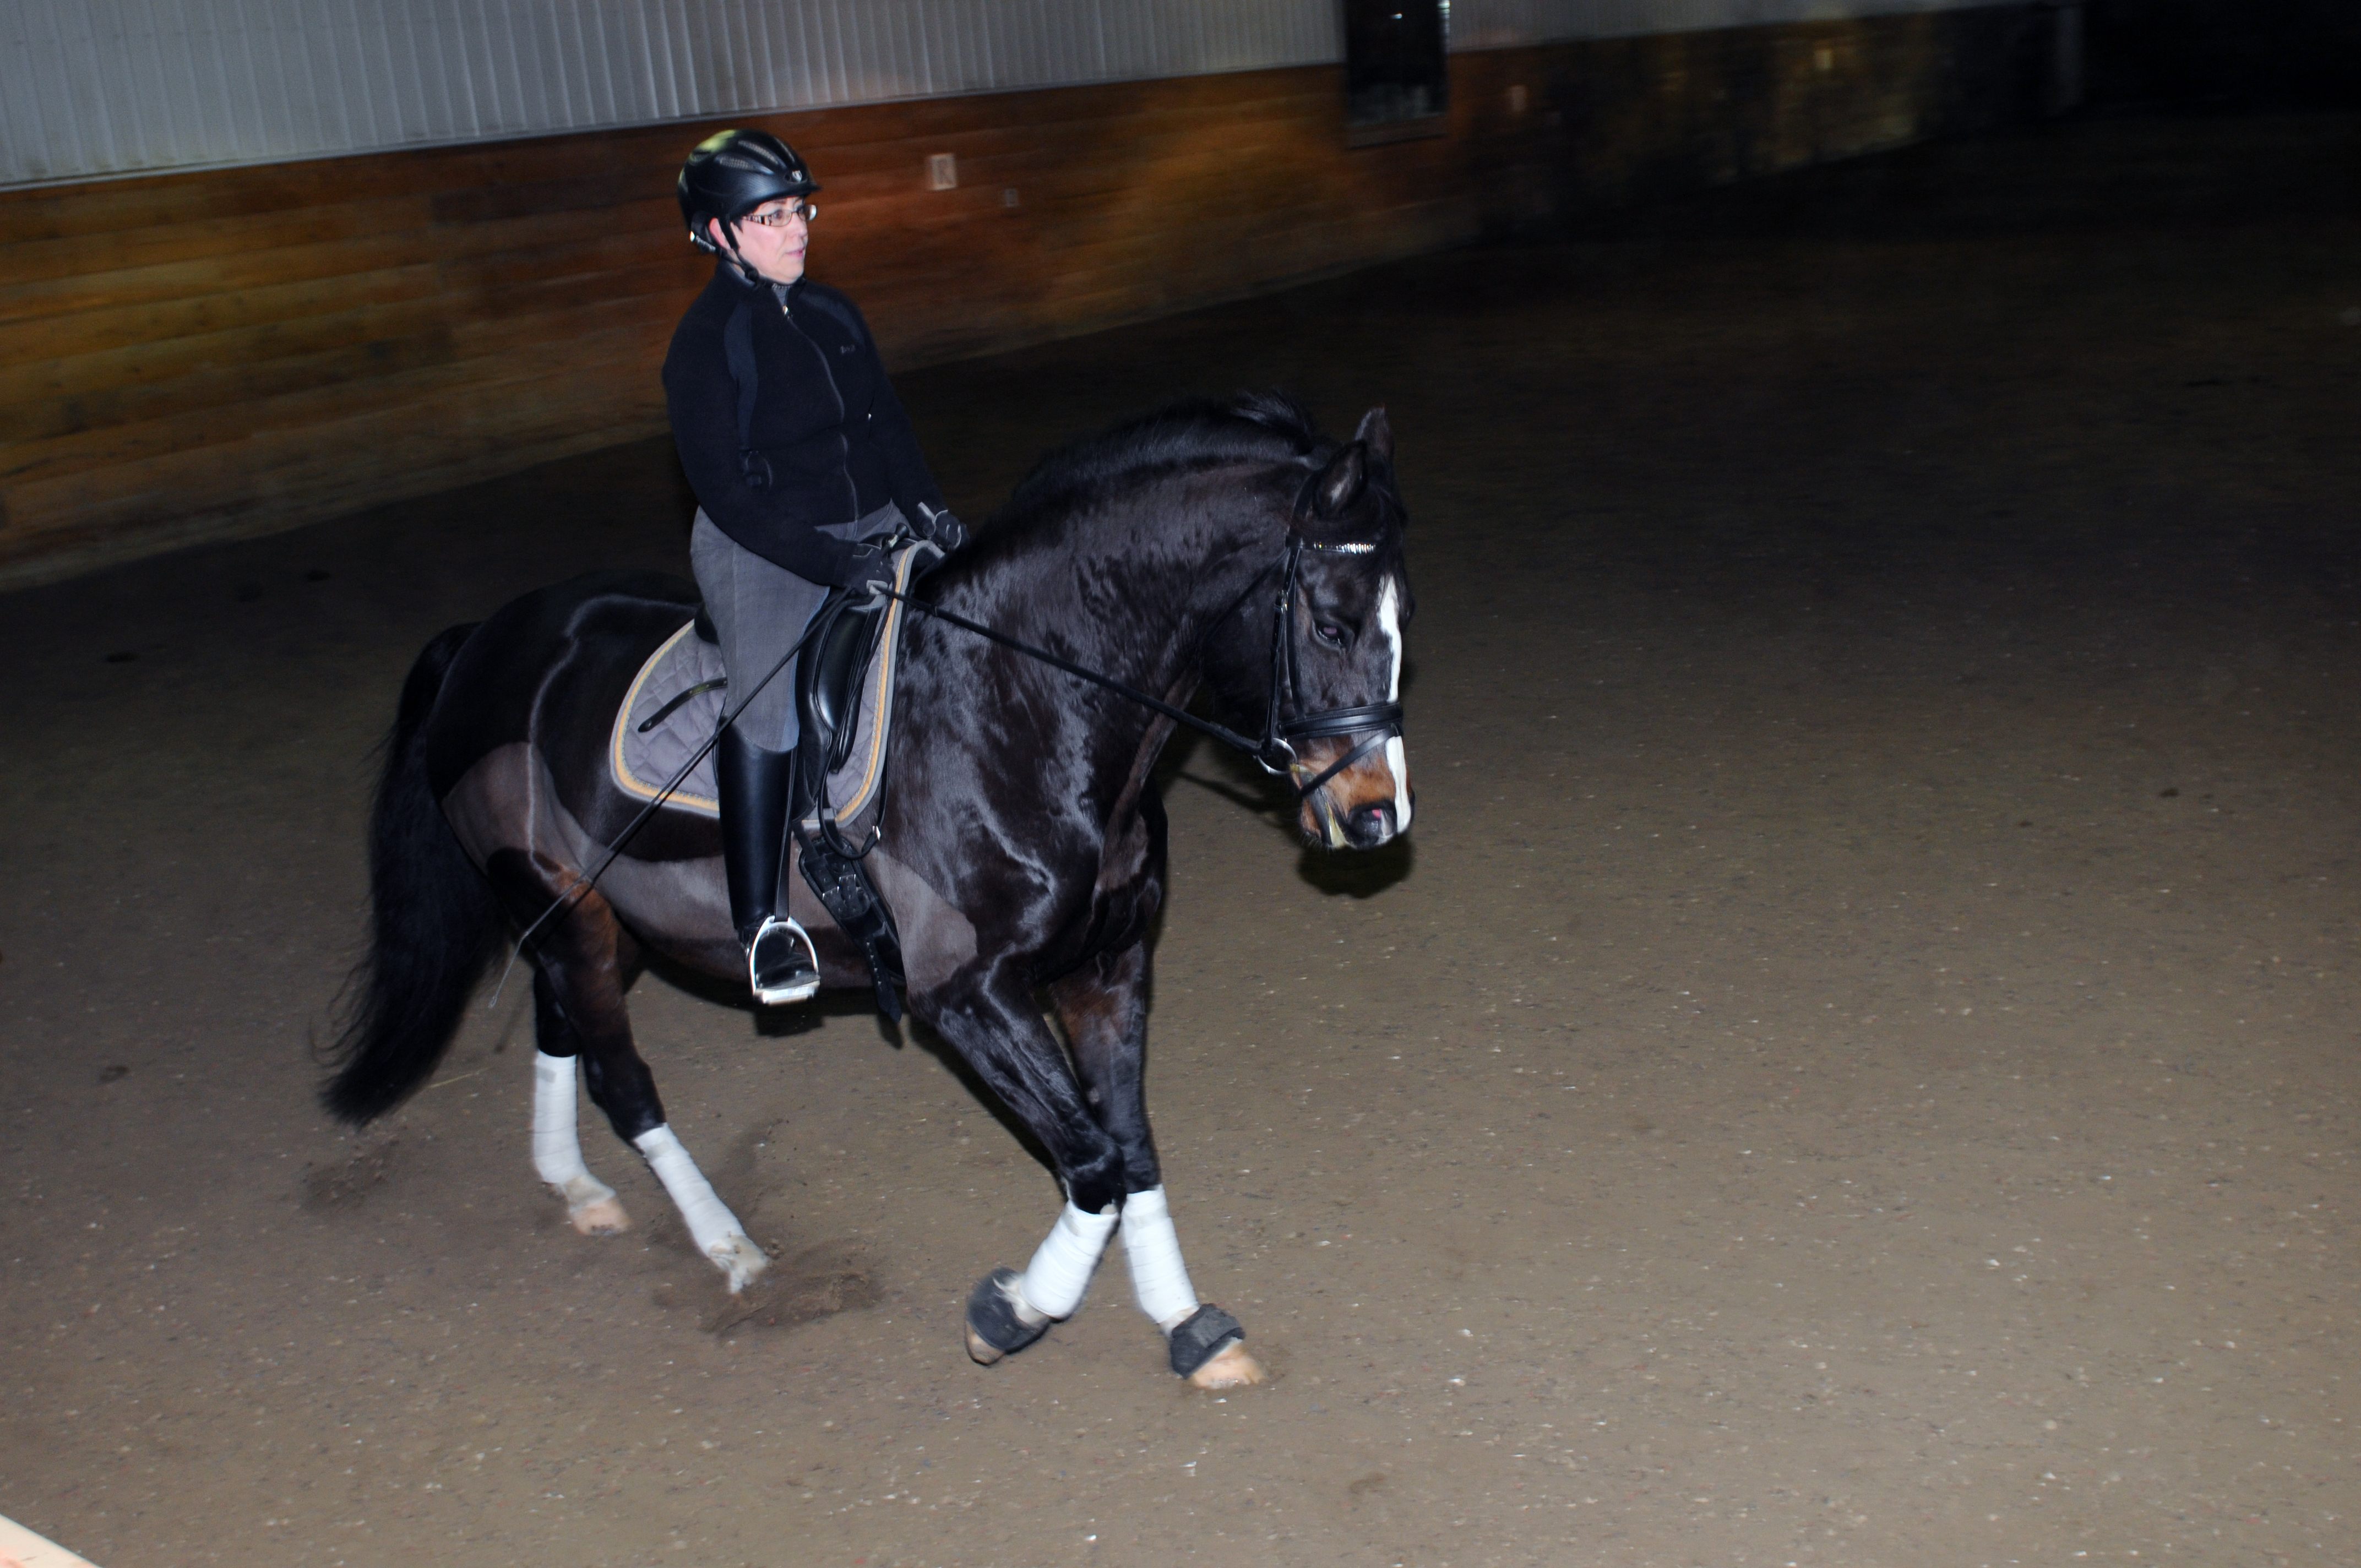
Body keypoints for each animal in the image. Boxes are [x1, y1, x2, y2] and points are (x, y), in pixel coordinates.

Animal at [325, 391, 1407, 1389]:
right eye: (1330, 623)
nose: (1375, 817)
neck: (1022, 704)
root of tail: (486, 638)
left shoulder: (1106, 964)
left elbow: (1132, 1146)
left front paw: (1189, 1325)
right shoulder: (966, 996)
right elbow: (1093, 1163)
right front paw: (1011, 1309)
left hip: (592, 915)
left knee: (562, 1027)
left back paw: (578, 1189)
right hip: (567, 911)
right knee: (622, 1080)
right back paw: (732, 1250)